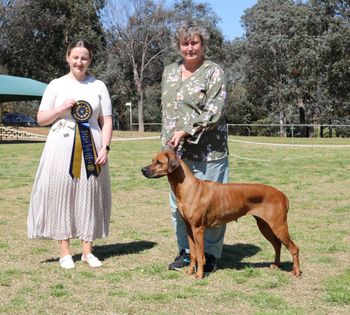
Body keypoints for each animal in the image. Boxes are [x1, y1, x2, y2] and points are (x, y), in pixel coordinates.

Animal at [142, 151, 300, 278]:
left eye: (159, 162)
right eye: (152, 160)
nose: (142, 170)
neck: (188, 187)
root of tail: (282, 194)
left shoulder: (198, 229)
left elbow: (200, 255)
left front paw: (199, 275)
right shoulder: (189, 228)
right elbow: (193, 254)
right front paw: (190, 271)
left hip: (278, 226)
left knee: (294, 248)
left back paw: (296, 272)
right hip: (264, 226)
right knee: (277, 245)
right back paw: (276, 264)